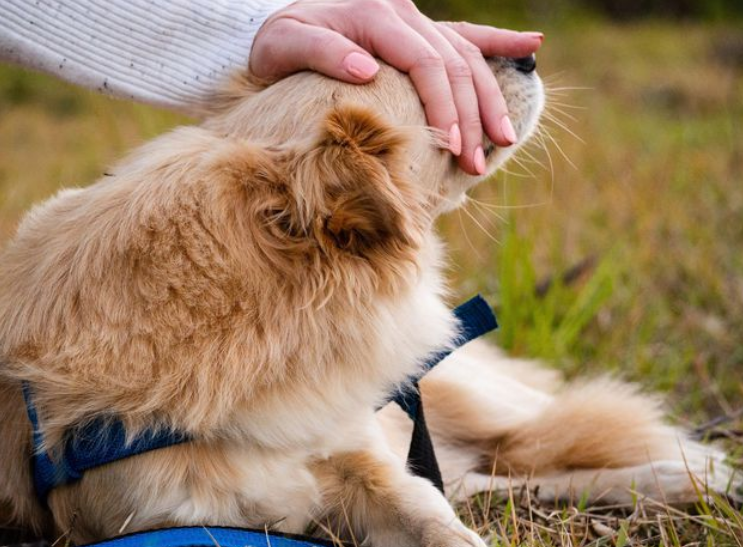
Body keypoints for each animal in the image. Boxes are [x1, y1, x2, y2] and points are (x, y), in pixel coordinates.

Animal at [0, 54, 740, 544]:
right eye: (439, 94)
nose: (526, 55)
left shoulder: (372, 469)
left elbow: (444, 527)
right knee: (507, 479)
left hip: (487, 407)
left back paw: (695, 476)